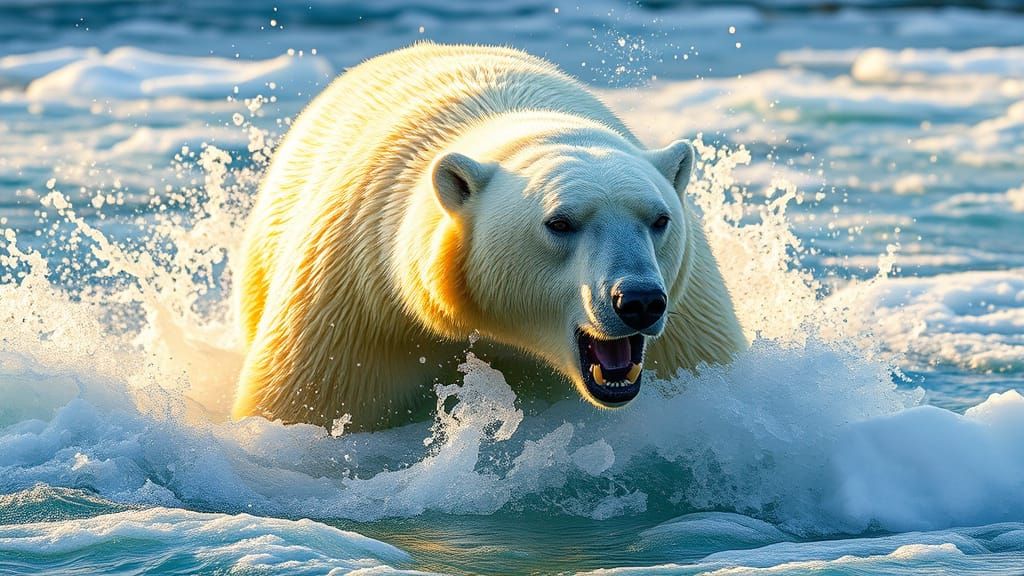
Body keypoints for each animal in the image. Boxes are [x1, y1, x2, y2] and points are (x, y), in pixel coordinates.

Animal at [232, 43, 745, 431]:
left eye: (659, 219)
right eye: (560, 222)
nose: (638, 300)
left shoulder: (685, 324)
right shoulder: (357, 315)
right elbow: (300, 404)